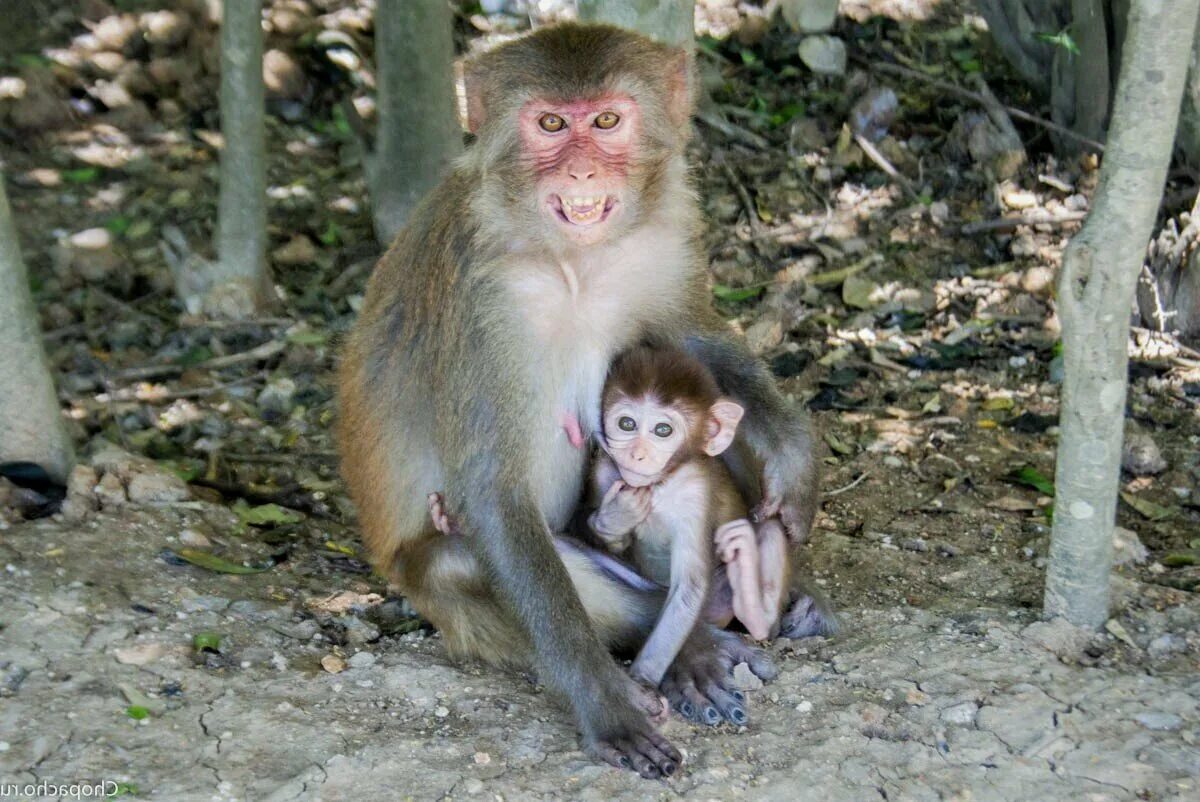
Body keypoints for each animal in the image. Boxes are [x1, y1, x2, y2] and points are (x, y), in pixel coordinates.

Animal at [343, 25, 820, 777]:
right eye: (549, 125)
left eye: (605, 121)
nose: (582, 176)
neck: (572, 260)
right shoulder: (478, 301)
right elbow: (492, 493)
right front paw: (606, 703)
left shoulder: (662, 240)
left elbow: (694, 342)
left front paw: (793, 452)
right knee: (459, 559)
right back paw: (701, 642)